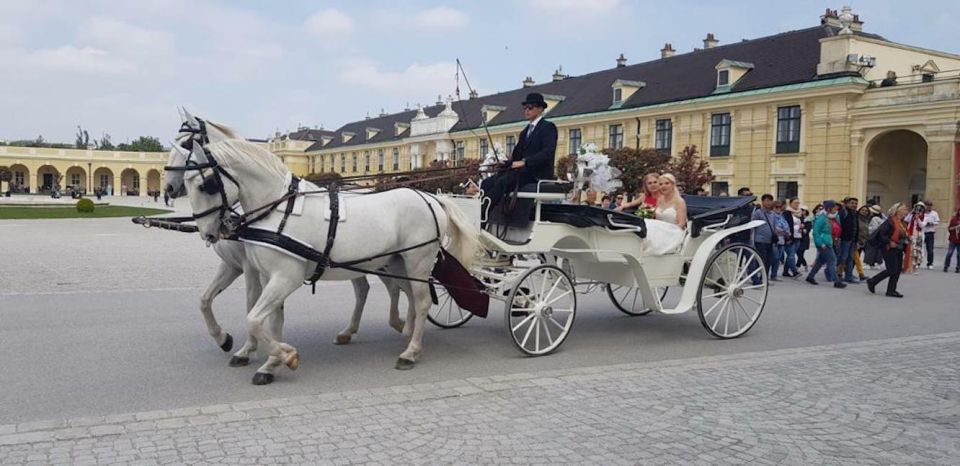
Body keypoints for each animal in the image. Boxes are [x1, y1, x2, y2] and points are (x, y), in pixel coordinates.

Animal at [167, 115, 480, 382]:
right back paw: (402, 332)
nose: (209, 232)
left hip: (417, 261)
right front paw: (270, 363)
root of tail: (430, 197)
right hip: (395, 262)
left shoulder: (283, 277)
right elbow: (270, 320)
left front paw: (283, 355)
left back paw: (410, 352)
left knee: (422, 300)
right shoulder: (267, 275)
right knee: (406, 295)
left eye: (206, 185)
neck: (278, 208)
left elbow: (253, 318)